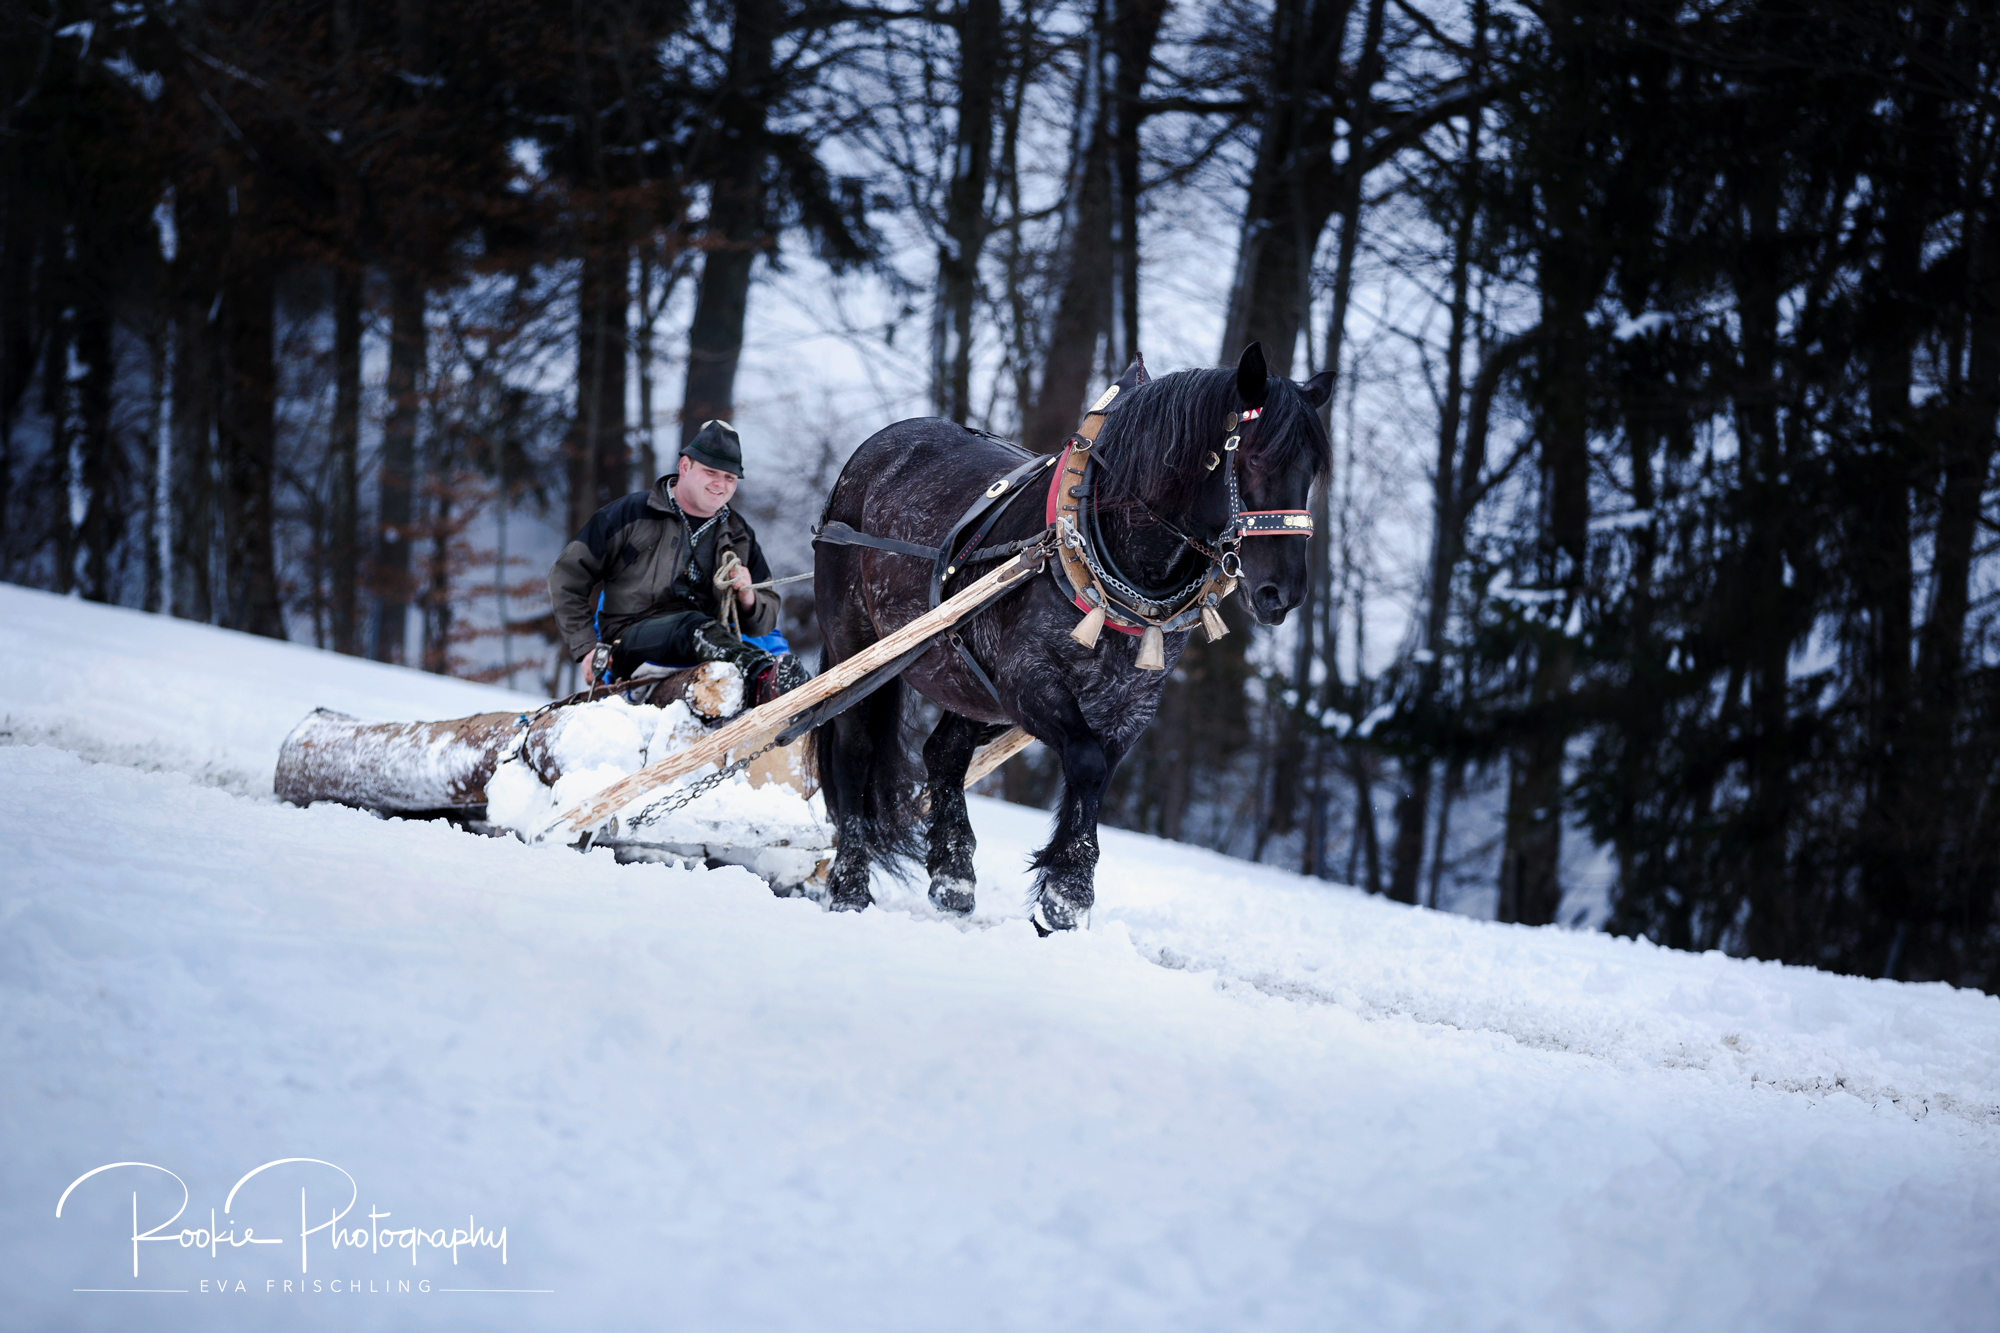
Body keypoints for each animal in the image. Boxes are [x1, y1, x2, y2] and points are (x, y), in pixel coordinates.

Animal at [812, 343, 1333, 931]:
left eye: (1311, 469)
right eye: (1256, 458)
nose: (1282, 592)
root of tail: (877, 446)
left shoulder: (1130, 703)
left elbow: (1098, 777)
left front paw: (1065, 890)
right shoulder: (1026, 679)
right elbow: (1084, 761)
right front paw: (1068, 892)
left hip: (967, 677)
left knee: (943, 752)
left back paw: (953, 874)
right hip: (858, 646)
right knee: (854, 755)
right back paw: (850, 885)